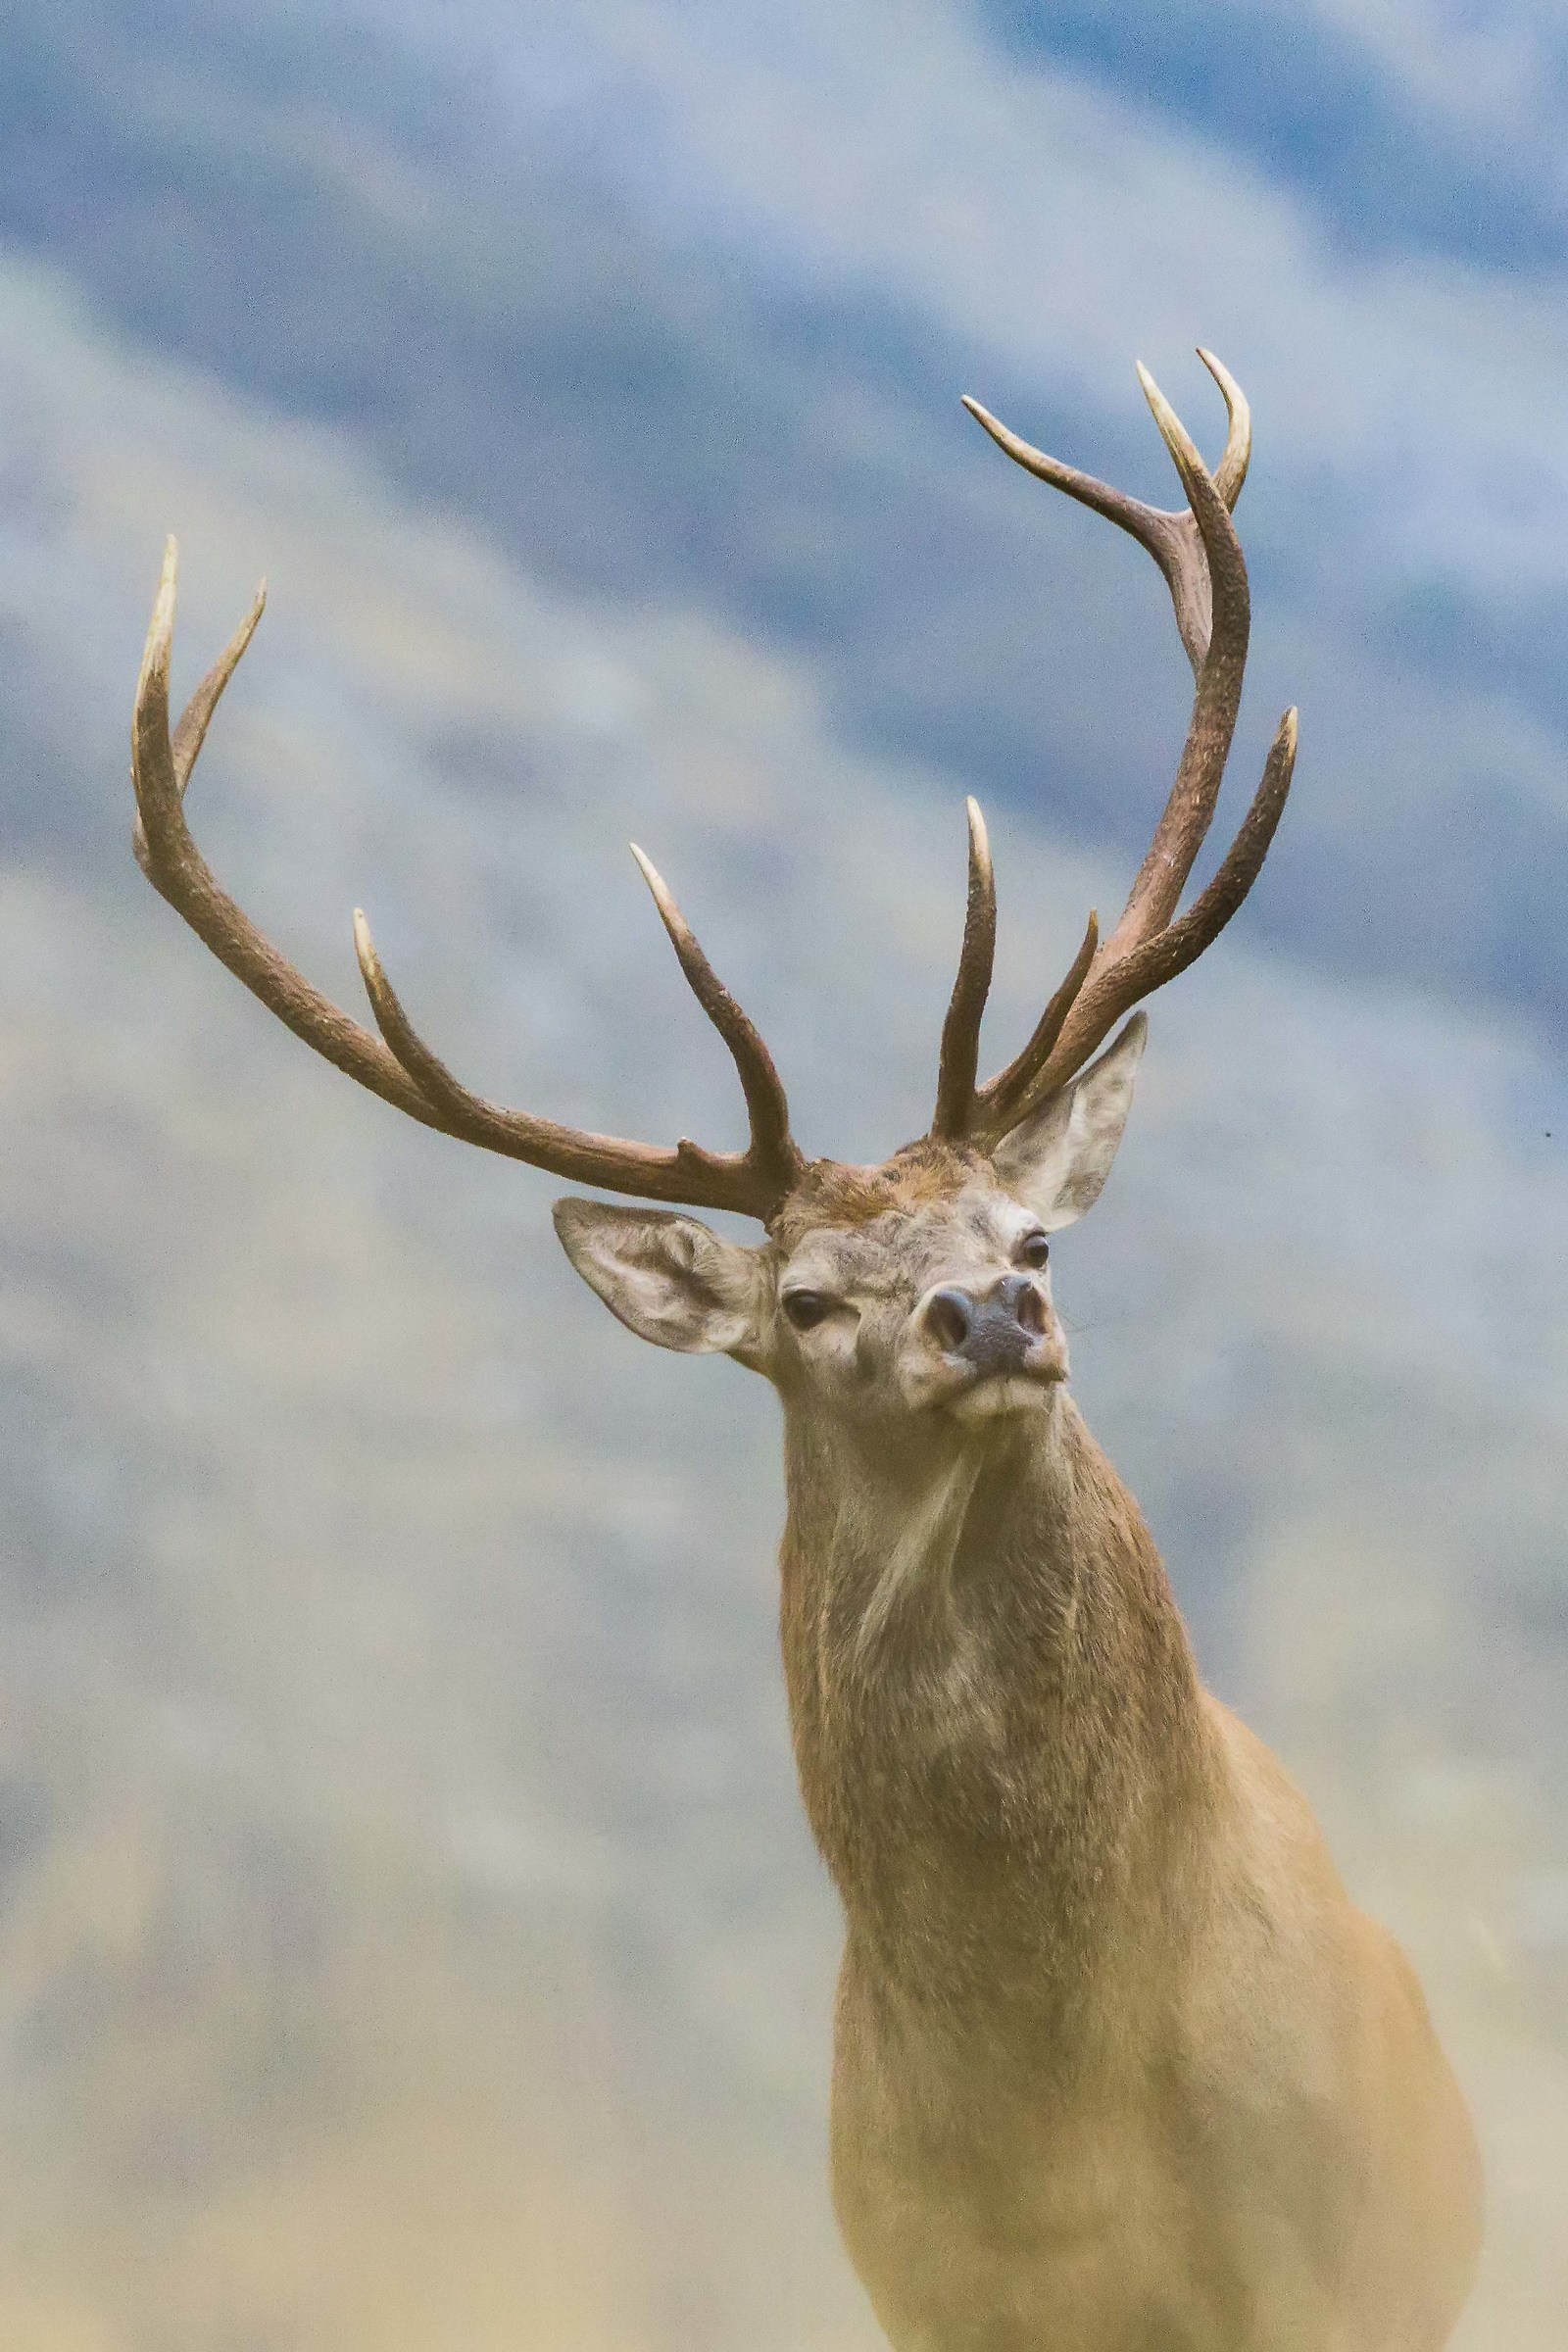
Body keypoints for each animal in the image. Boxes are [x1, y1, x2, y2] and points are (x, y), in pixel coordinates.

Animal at [130, 350, 1481, 2351]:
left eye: (1033, 1234)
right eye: (804, 1304)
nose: (992, 1312)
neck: (1070, 2116)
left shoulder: (1321, 2268)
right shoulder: (918, 2282)